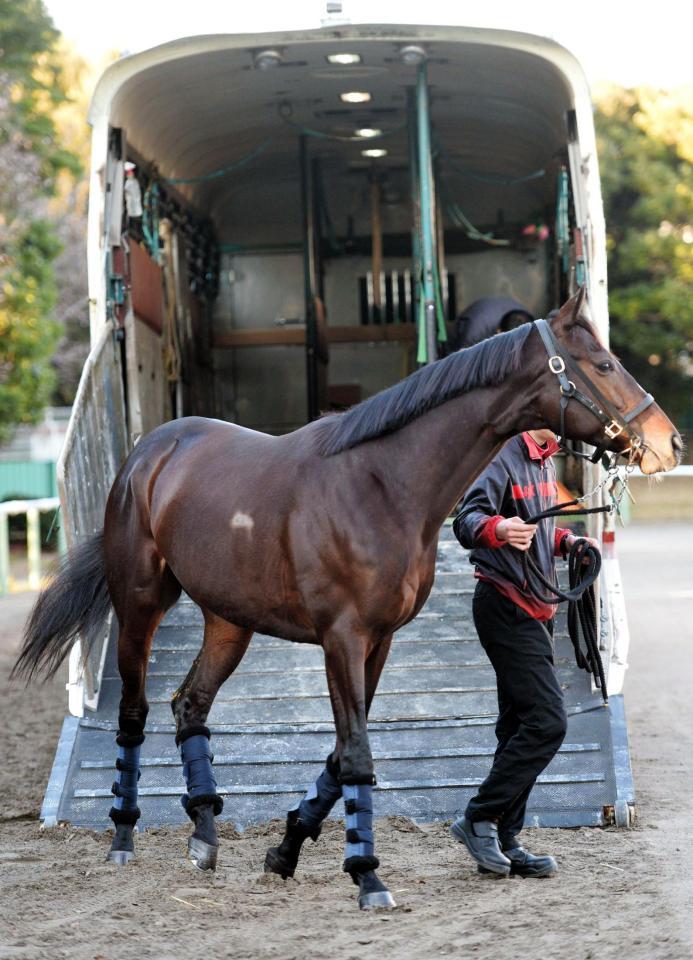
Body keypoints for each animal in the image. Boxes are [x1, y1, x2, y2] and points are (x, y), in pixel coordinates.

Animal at [13, 288, 680, 912]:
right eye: (603, 364)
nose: (667, 443)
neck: (382, 483)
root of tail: (149, 454)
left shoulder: (379, 641)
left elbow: (340, 753)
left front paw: (285, 849)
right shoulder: (342, 637)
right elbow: (356, 754)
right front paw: (368, 877)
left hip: (229, 621)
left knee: (190, 706)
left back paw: (204, 836)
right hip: (139, 607)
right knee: (134, 714)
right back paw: (123, 837)